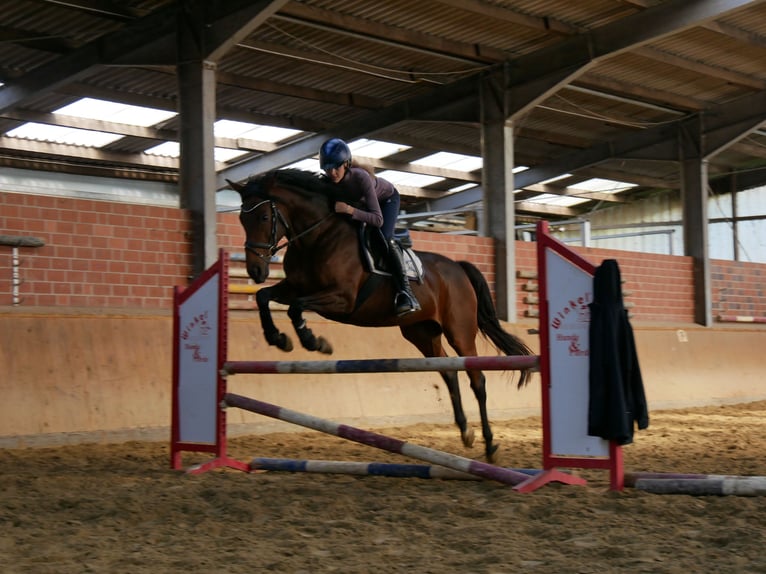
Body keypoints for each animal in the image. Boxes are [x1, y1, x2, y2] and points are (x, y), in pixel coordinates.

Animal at [228, 169, 536, 462]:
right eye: (242, 219)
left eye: (264, 216)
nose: (255, 270)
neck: (317, 237)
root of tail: (458, 268)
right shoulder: (294, 287)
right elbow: (264, 296)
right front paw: (278, 338)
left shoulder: (342, 299)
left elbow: (295, 307)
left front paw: (314, 342)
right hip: (422, 332)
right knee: (448, 371)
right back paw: (465, 432)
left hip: (459, 331)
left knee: (477, 379)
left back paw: (490, 445)